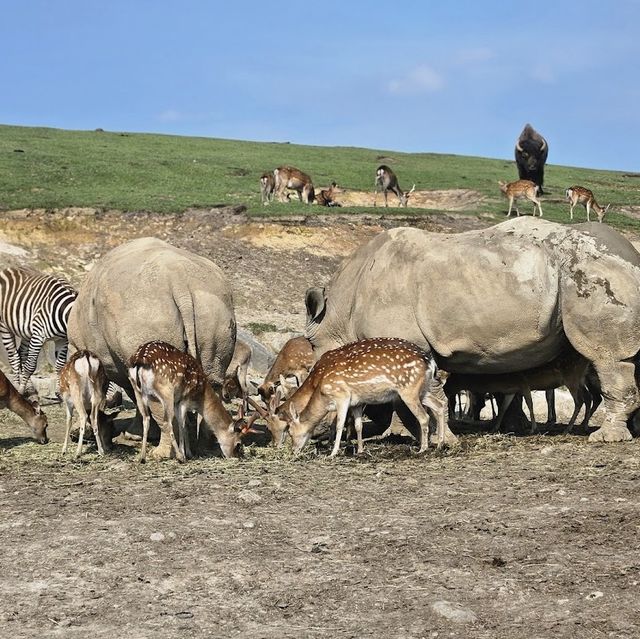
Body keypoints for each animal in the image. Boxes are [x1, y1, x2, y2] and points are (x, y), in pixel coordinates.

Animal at [0, 264, 77, 396]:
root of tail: (9, 268)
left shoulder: (62, 340)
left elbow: (60, 365)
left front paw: (59, 392)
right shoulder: (38, 336)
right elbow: (30, 365)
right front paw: (21, 389)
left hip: (26, 332)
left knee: (22, 354)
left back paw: (30, 388)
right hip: (4, 326)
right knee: (14, 357)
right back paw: (17, 387)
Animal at [126, 342, 258, 462]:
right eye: (238, 443)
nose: (235, 457)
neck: (200, 397)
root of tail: (139, 360)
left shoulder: (178, 402)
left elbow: (184, 425)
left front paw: (189, 453)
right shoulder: (184, 400)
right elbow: (183, 425)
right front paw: (186, 454)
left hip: (137, 390)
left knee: (146, 418)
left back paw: (142, 457)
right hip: (166, 391)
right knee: (167, 422)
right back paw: (179, 457)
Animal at [250, 338, 444, 458]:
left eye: (281, 428)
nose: (277, 446)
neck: (317, 383)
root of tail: (431, 363)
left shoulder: (342, 398)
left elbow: (338, 424)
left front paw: (333, 451)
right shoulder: (357, 402)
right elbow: (358, 425)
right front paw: (359, 450)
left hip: (408, 391)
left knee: (424, 416)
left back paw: (423, 449)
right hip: (422, 390)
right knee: (440, 404)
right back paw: (440, 444)